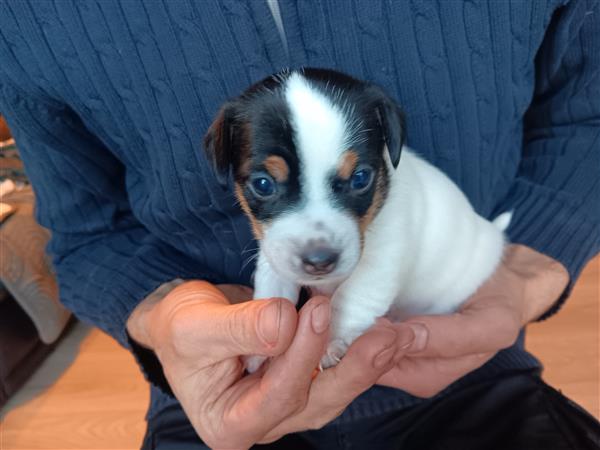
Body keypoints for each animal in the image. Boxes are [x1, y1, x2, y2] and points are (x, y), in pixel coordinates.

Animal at [203, 68, 510, 370]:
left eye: (361, 178)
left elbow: (349, 297)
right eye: (263, 184)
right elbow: (273, 292)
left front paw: (331, 341)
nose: (319, 261)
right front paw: (259, 352)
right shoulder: (272, 251)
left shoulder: (382, 261)